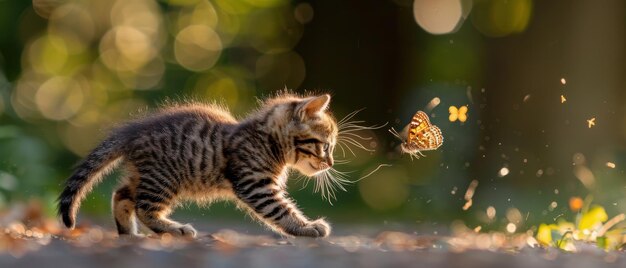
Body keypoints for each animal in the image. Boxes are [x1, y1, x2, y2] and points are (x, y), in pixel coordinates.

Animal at [57, 94, 342, 239]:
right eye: (326, 145)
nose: (330, 163)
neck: (266, 140)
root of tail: (133, 132)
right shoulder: (255, 185)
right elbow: (281, 210)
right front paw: (305, 227)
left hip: (146, 175)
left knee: (122, 195)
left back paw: (130, 234)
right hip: (164, 178)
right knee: (144, 208)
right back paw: (174, 229)